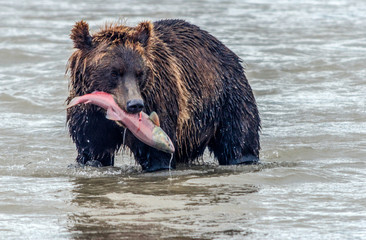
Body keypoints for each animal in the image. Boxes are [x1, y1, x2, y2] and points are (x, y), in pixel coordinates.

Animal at [66, 19, 260, 172]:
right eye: (114, 72)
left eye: (139, 72)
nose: (135, 104)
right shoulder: (89, 117)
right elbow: (92, 151)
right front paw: (92, 161)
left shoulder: (159, 99)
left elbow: (156, 156)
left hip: (229, 98)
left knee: (238, 139)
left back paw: (243, 158)